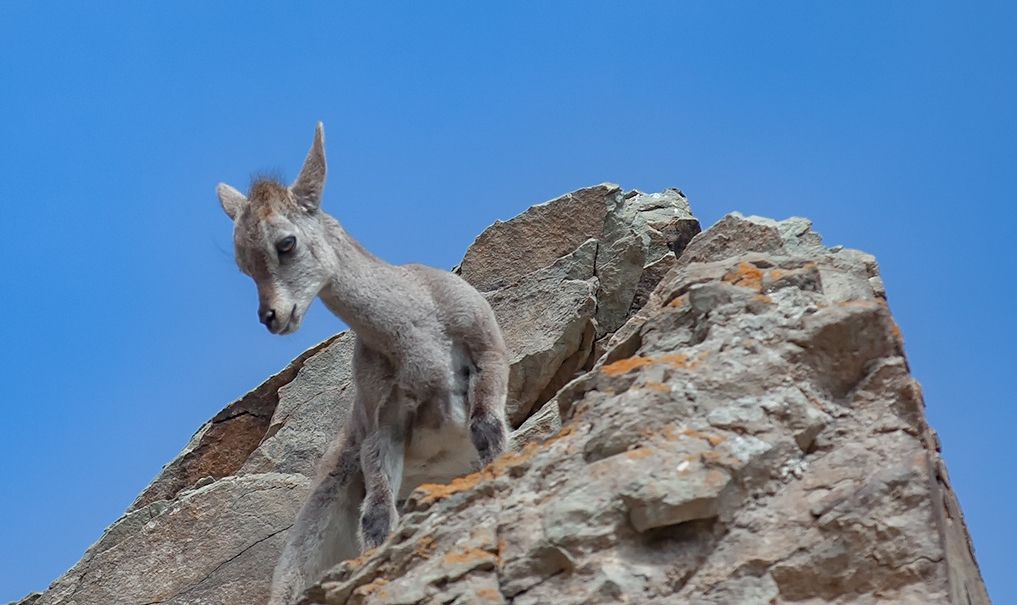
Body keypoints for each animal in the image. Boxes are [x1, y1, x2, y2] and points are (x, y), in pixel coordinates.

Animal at [218, 124, 512, 605]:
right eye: (244, 265)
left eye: (286, 243)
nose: (272, 317)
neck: (414, 329)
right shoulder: (382, 425)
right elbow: (376, 516)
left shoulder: (487, 353)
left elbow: (488, 432)